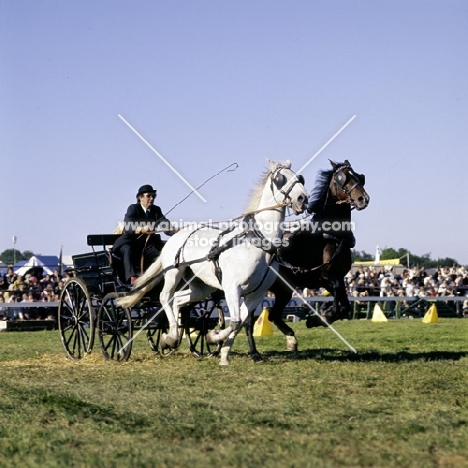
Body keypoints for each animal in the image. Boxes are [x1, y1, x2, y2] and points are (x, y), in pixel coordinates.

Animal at [117, 161, 308, 366]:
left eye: (300, 177)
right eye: (280, 179)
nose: (303, 198)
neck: (257, 242)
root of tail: (177, 234)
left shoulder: (257, 294)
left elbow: (240, 323)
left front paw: (223, 355)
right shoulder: (232, 288)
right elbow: (235, 321)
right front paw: (212, 337)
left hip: (201, 286)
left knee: (178, 299)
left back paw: (172, 337)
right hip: (173, 273)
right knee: (165, 297)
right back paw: (171, 337)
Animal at [245, 161, 370, 358]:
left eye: (359, 176)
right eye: (342, 178)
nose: (362, 199)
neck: (331, 236)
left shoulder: (334, 278)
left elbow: (344, 307)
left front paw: (321, 316)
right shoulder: (327, 277)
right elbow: (340, 307)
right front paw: (318, 318)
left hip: (284, 290)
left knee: (273, 315)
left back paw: (291, 340)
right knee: (250, 319)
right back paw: (253, 351)